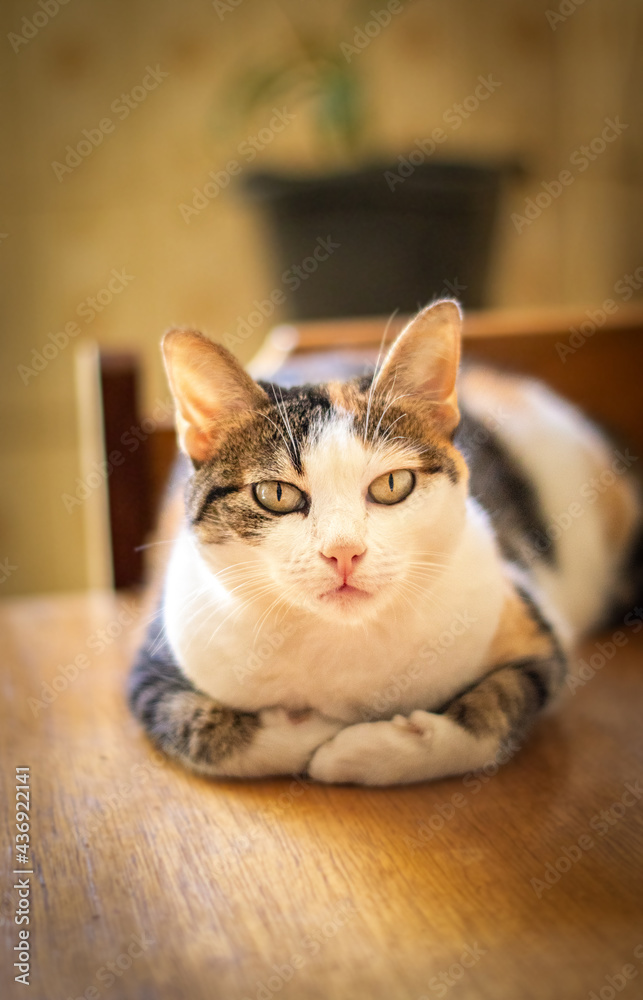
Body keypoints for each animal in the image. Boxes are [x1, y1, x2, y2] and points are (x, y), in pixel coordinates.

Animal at [128, 300, 640, 784]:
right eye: (276, 494)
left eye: (392, 484)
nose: (343, 552)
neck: (342, 640)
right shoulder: (154, 659)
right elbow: (201, 729)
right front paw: (315, 731)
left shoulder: (534, 630)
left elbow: (493, 713)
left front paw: (356, 751)